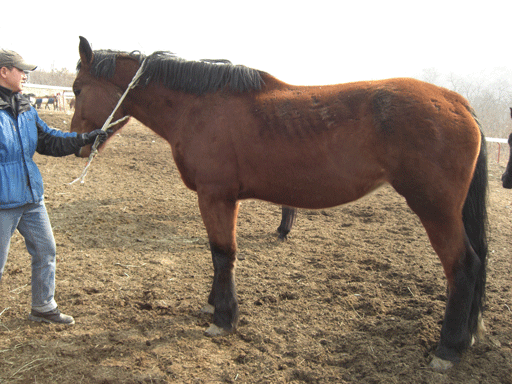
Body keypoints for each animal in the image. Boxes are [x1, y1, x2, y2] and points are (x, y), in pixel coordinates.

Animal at [69, 37, 488, 370]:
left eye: (76, 89)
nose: (78, 143)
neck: (199, 107)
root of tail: (457, 102)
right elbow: (217, 254)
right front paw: (213, 304)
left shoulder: (216, 196)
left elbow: (223, 254)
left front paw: (224, 317)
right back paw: (466, 337)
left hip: (435, 210)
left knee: (463, 266)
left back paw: (448, 349)